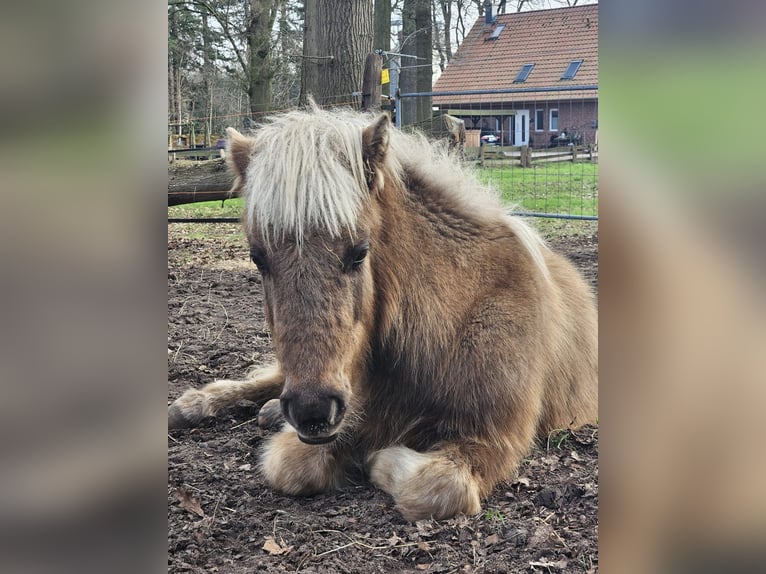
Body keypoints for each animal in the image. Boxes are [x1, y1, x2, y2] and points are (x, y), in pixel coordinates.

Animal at [168, 104, 598, 521]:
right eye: (258, 258)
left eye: (360, 252)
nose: (312, 411)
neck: (460, 316)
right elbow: (292, 466)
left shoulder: (498, 436)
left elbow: (434, 486)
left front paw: (379, 458)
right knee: (270, 379)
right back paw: (195, 405)